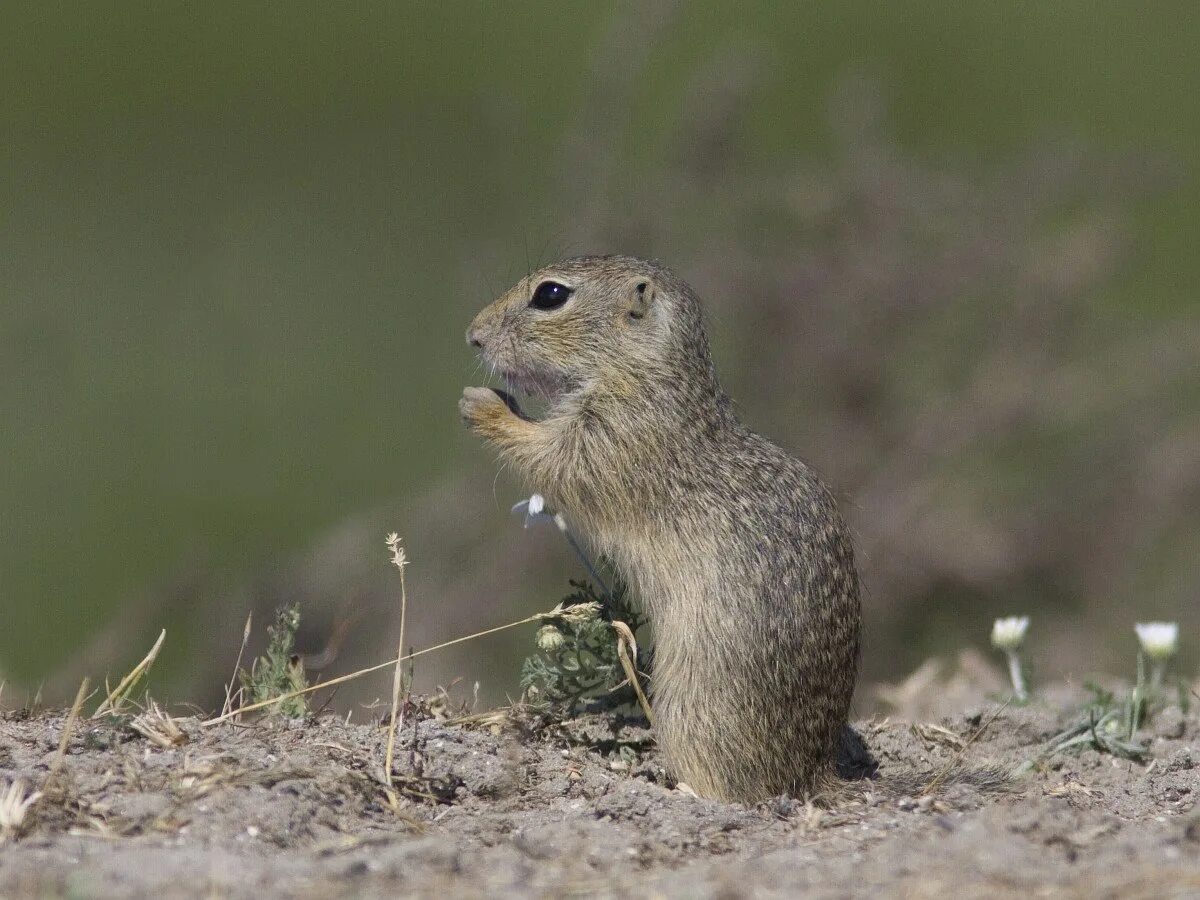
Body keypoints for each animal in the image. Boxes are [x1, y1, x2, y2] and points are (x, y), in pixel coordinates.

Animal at [460, 254, 864, 801]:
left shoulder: (611, 436)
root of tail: (813, 773)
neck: (647, 372)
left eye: (550, 295)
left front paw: (482, 403)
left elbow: (549, 456)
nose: (473, 335)